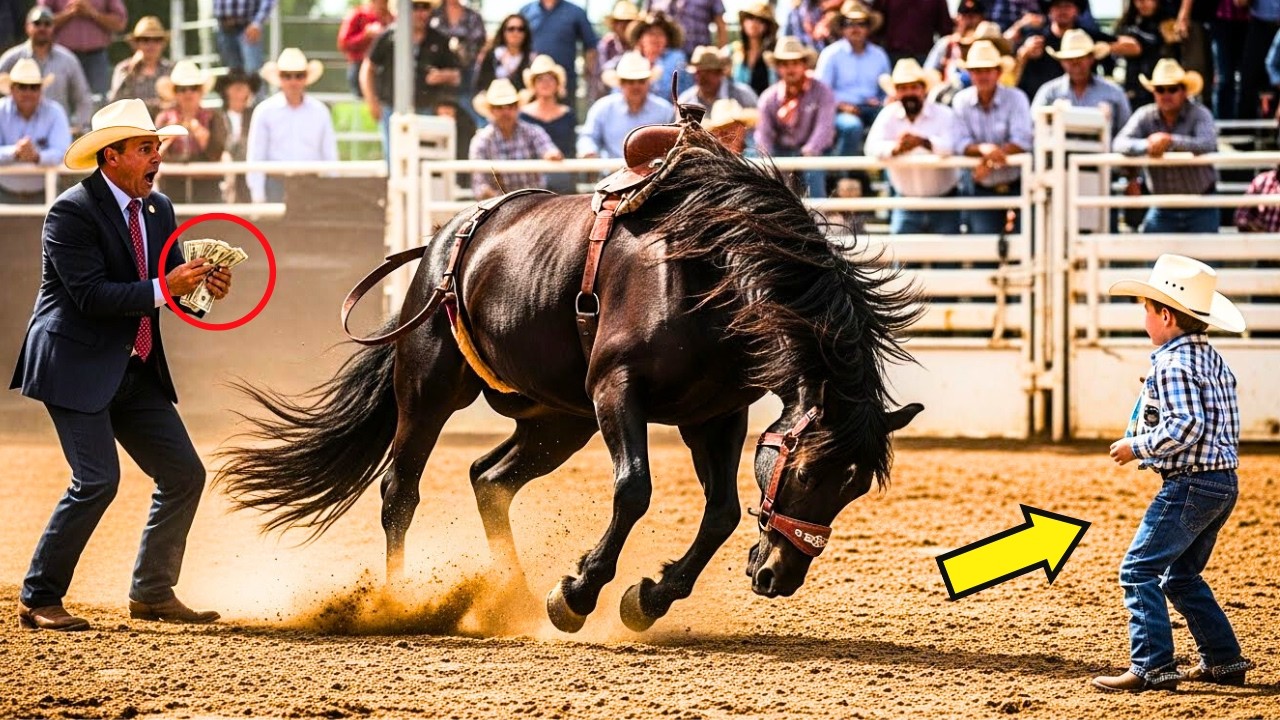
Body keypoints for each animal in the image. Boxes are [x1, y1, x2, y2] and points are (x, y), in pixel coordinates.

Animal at [215, 124, 924, 633]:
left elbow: (722, 510)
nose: (780, 577)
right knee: (400, 490)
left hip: (558, 420)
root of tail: (447, 238)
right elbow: (634, 490)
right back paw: (396, 603)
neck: (708, 266)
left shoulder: (716, 415)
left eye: (854, 488)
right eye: (804, 471)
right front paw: (579, 592)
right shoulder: (617, 389)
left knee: (490, 480)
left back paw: (516, 599)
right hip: (430, 388)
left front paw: (649, 597)